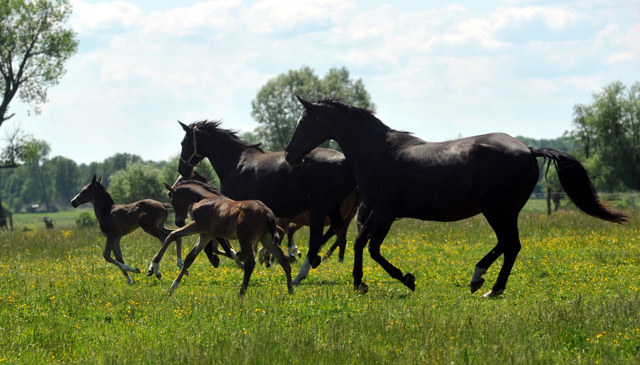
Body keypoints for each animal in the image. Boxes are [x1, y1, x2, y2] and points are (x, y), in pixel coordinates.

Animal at [284, 96, 624, 296]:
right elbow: (359, 244)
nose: (288, 155)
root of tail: (528, 149)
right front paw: (359, 283)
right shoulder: (378, 211)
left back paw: (485, 283)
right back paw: (484, 281)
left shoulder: (386, 212)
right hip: (506, 210)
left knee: (510, 244)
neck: (377, 151)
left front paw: (407, 278)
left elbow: (374, 249)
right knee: (509, 245)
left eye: (305, 122)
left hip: (496, 209)